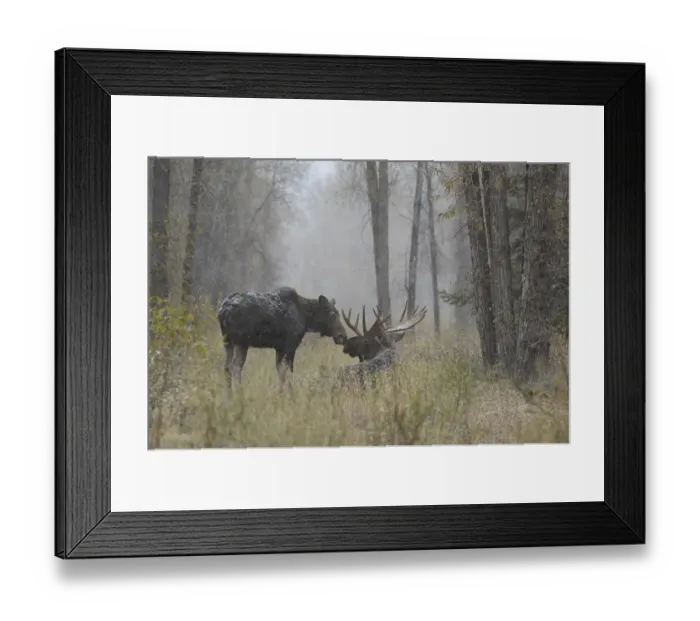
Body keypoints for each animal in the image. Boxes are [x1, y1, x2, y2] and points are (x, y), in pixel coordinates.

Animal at [217, 285, 348, 388]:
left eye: (338, 314)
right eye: (332, 314)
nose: (343, 335)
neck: (306, 319)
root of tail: (222, 311)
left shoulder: (279, 348)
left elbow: (281, 374)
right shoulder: (290, 345)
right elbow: (288, 373)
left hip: (227, 342)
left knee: (226, 367)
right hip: (241, 342)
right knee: (235, 367)